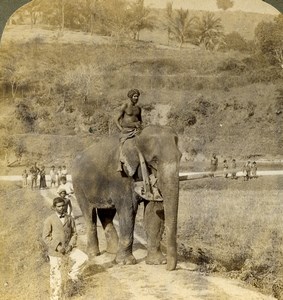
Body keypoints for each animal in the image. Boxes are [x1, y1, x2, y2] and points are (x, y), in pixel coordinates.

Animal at [71, 125, 182, 270]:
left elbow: (153, 210)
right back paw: (94, 254)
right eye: (154, 160)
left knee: (106, 213)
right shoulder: (120, 176)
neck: (136, 138)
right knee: (89, 214)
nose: (168, 268)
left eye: (180, 157)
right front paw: (126, 262)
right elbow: (127, 209)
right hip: (78, 187)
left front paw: (157, 262)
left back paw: (112, 251)